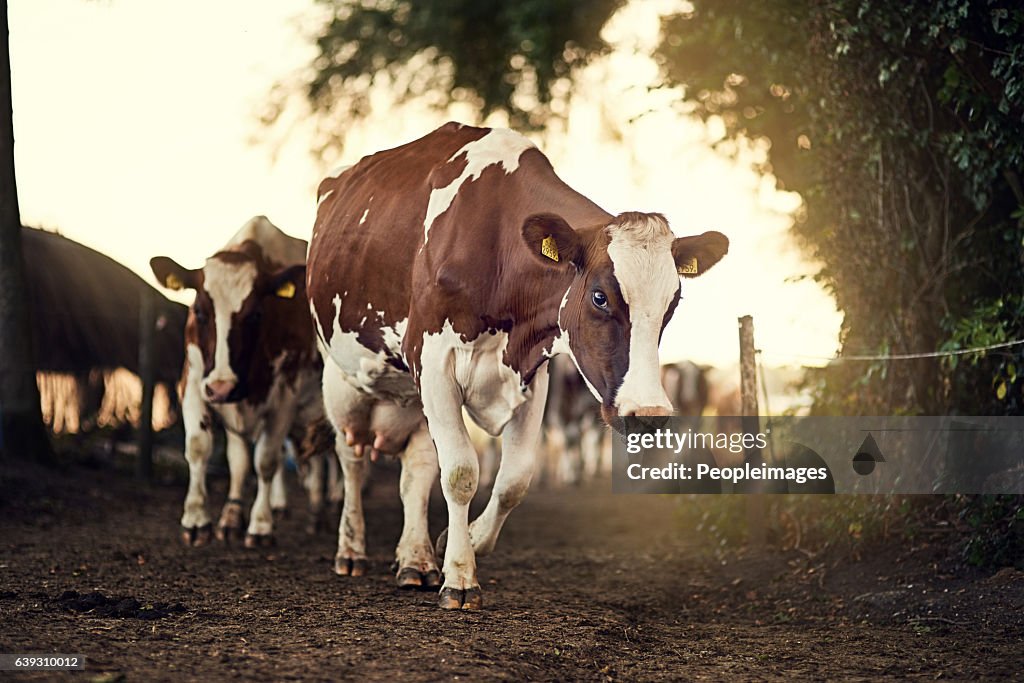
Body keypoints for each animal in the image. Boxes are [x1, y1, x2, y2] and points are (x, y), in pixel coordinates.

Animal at [148, 216, 321, 548]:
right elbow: (200, 447)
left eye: (255, 315)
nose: (222, 387)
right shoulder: (193, 382)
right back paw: (233, 516)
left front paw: (260, 526)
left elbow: (265, 460)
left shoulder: (285, 397)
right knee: (243, 460)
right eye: (200, 312)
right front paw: (198, 519)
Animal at [305, 122, 729, 610]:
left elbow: (514, 479)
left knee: (417, 470)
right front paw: (460, 576)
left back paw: (416, 559)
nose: (649, 415)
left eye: (672, 304)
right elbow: (461, 472)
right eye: (600, 297)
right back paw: (351, 551)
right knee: (351, 457)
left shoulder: (532, 373)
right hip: (342, 378)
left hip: (413, 398)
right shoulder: (434, 362)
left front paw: (459, 540)